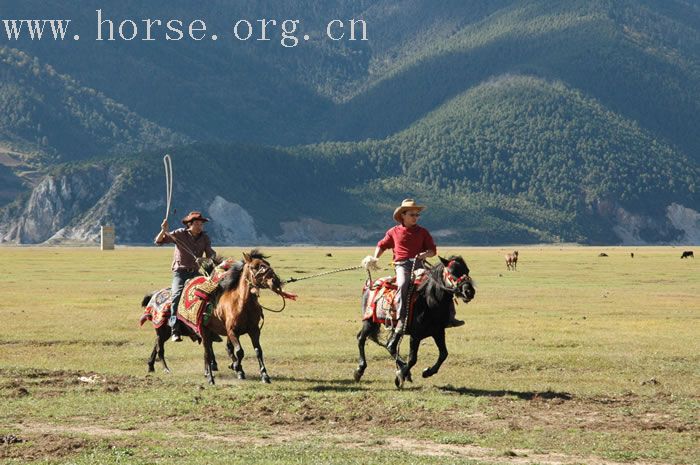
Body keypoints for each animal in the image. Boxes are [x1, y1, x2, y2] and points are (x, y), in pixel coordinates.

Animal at [356, 256, 476, 386]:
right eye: (452, 272)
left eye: (467, 270)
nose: (469, 292)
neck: (430, 302)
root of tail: (370, 284)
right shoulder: (415, 335)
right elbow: (413, 359)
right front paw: (400, 375)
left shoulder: (438, 332)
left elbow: (444, 354)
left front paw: (427, 372)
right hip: (369, 321)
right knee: (363, 339)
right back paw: (360, 370)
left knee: (390, 346)